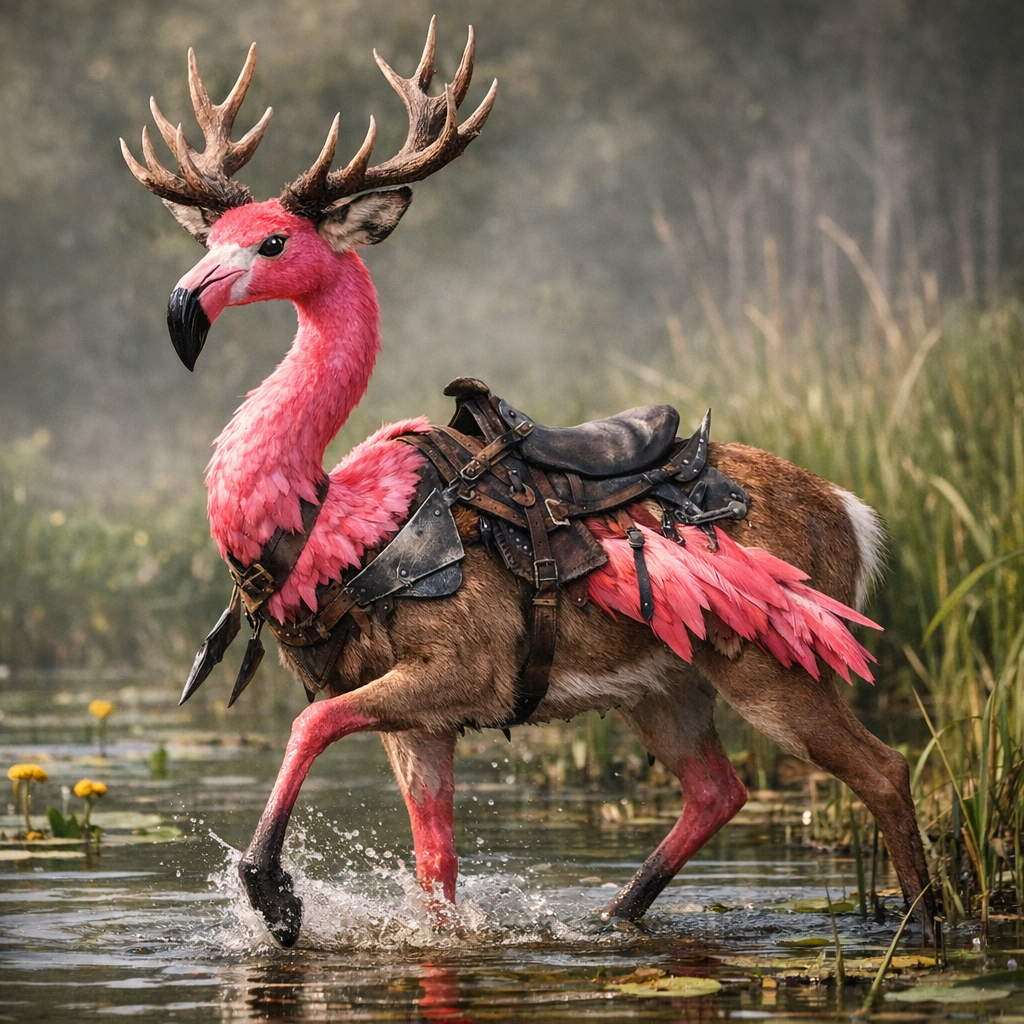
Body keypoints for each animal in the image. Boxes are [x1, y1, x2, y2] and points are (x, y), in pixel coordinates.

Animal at [121, 19, 934, 949]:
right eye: (207, 243)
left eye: (272, 243)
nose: (183, 310)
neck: (338, 527)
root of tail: (852, 517)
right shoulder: (422, 724)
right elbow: (435, 870)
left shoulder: (463, 666)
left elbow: (309, 719)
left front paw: (273, 893)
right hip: (668, 681)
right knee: (717, 790)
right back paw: (616, 919)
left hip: (779, 653)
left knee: (882, 767)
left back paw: (927, 928)